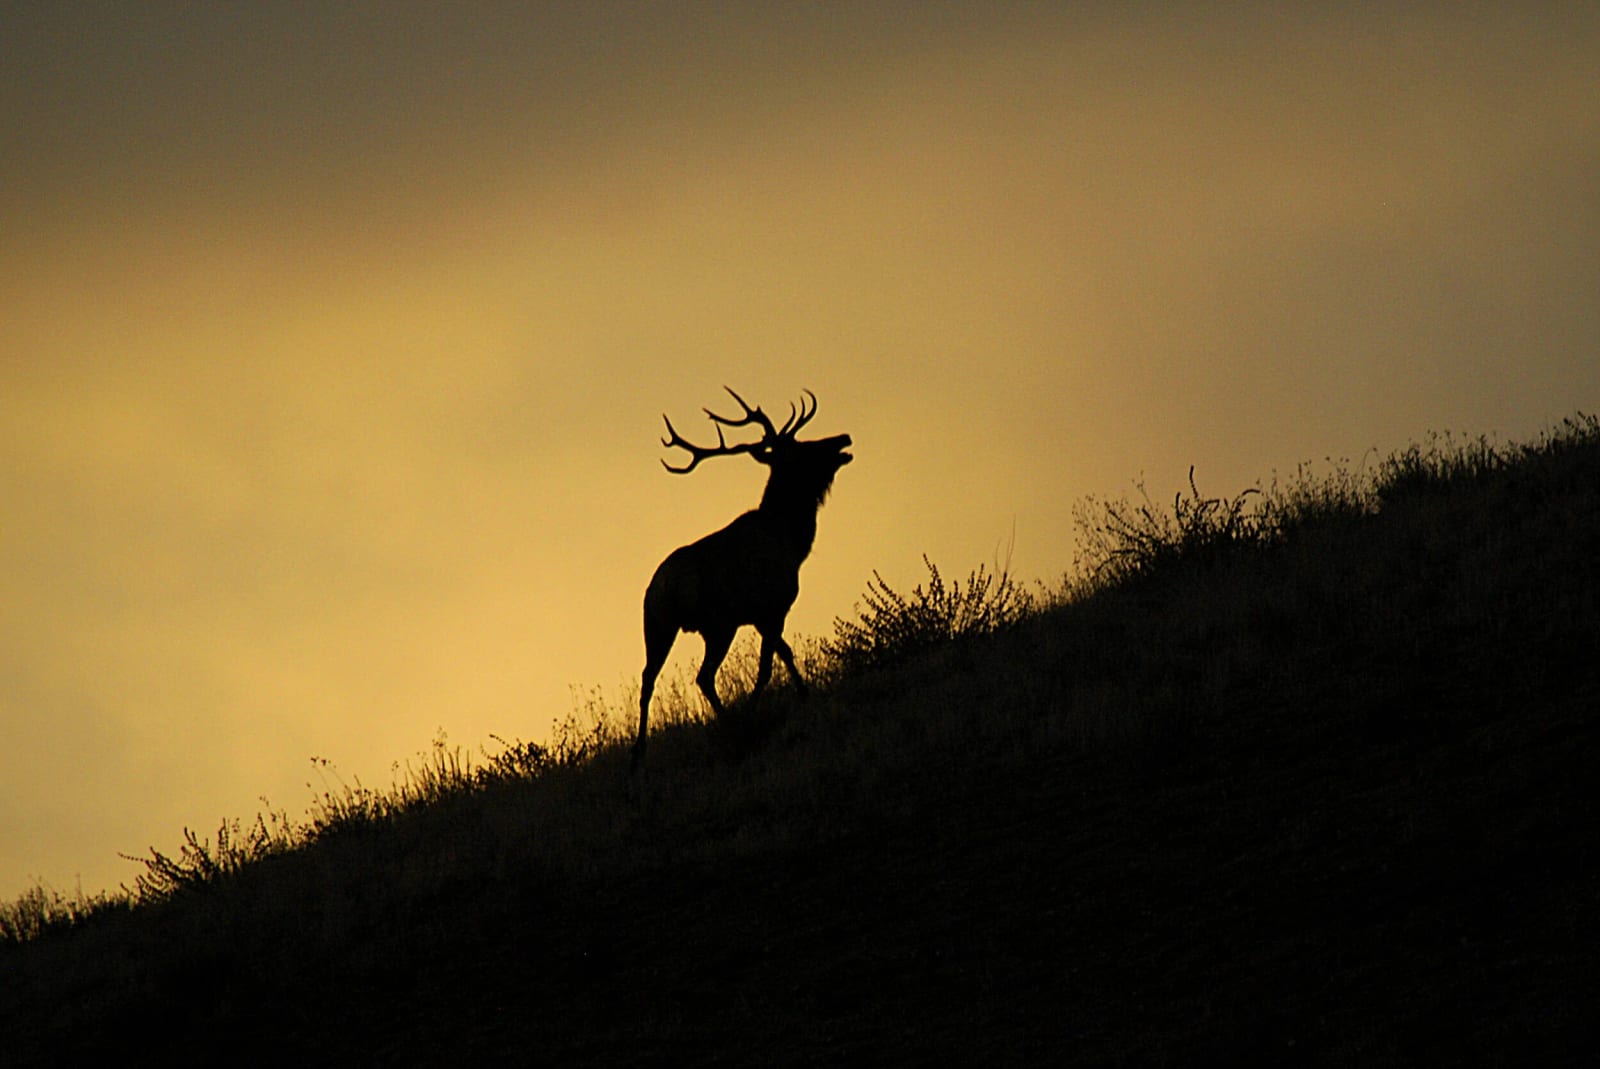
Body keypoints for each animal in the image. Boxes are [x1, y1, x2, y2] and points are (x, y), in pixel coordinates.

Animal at [635, 388, 853, 766]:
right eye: (804, 447)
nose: (843, 438)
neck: (793, 541)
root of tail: (665, 586)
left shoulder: (761, 617)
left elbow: (786, 654)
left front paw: (805, 693)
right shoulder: (774, 605)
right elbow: (767, 667)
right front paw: (756, 708)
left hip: (658, 622)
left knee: (648, 678)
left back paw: (638, 756)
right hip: (718, 624)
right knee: (703, 677)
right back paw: (733, 726)